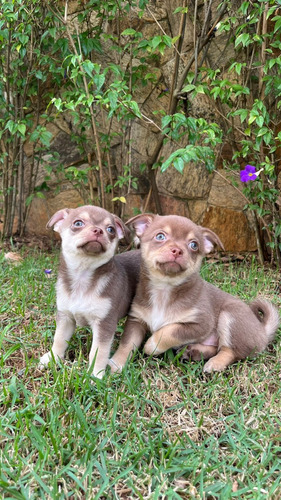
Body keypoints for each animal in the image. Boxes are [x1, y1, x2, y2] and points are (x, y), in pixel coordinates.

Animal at [39, 205, 140, 376]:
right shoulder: (65, 317)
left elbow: (98, 352)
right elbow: (59, 338)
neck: (82, 276)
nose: (98, 230)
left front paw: (95, 375)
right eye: (78, 223)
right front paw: (52, 358)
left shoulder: (104, 323)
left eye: (111, 229)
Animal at [110, 213, 278, 374]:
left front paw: (152, 345)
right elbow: (127, 343)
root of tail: (262, 332)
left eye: (194, 245)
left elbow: (170, 331)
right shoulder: (136, 320)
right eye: (160, 236)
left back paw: (214, 363)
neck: (164, 288)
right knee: (216, 347)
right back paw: (193, 351)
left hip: (230, 315)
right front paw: (115, 365)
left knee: (230, 351)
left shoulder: (200, 324)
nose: (177, 250)